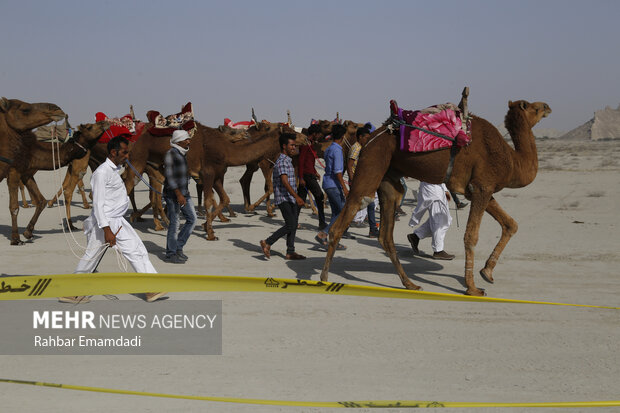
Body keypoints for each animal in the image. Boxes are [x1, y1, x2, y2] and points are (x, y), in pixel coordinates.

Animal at [320, 96, 552, 296]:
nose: (548, 107)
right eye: (534, 107)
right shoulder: (482, 187)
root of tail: (370, 138)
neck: (512, 161)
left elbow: (511, 224)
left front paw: (487, 272)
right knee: (352, 210)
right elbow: (471, 236)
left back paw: (410, 284)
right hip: (373, 160)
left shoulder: (481, 190)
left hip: (389, 179)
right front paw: (472, 288)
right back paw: (324, 278)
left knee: (386, 234)